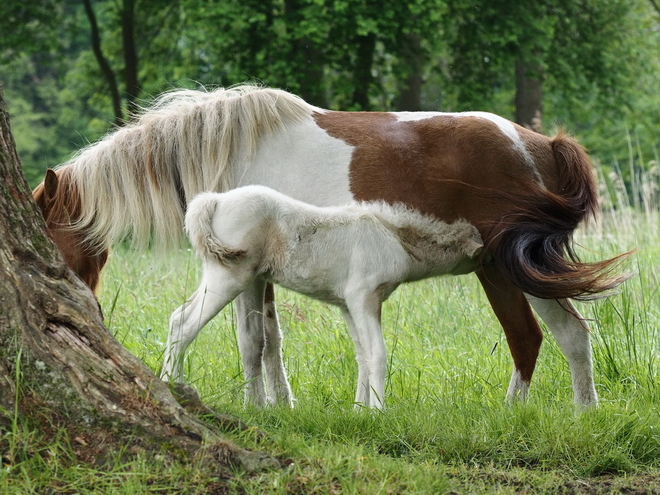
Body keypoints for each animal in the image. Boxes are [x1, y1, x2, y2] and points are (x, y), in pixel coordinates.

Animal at [159, 184, 480, 408]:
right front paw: (379, 412)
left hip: (247, 280)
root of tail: (214, 200)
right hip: (228, 276)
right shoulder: (364, 297)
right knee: (183, 323)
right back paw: (173, 387)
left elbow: (362, 355)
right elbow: (377, 354)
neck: (394, 237)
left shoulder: (348, 306)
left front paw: (359, 412)